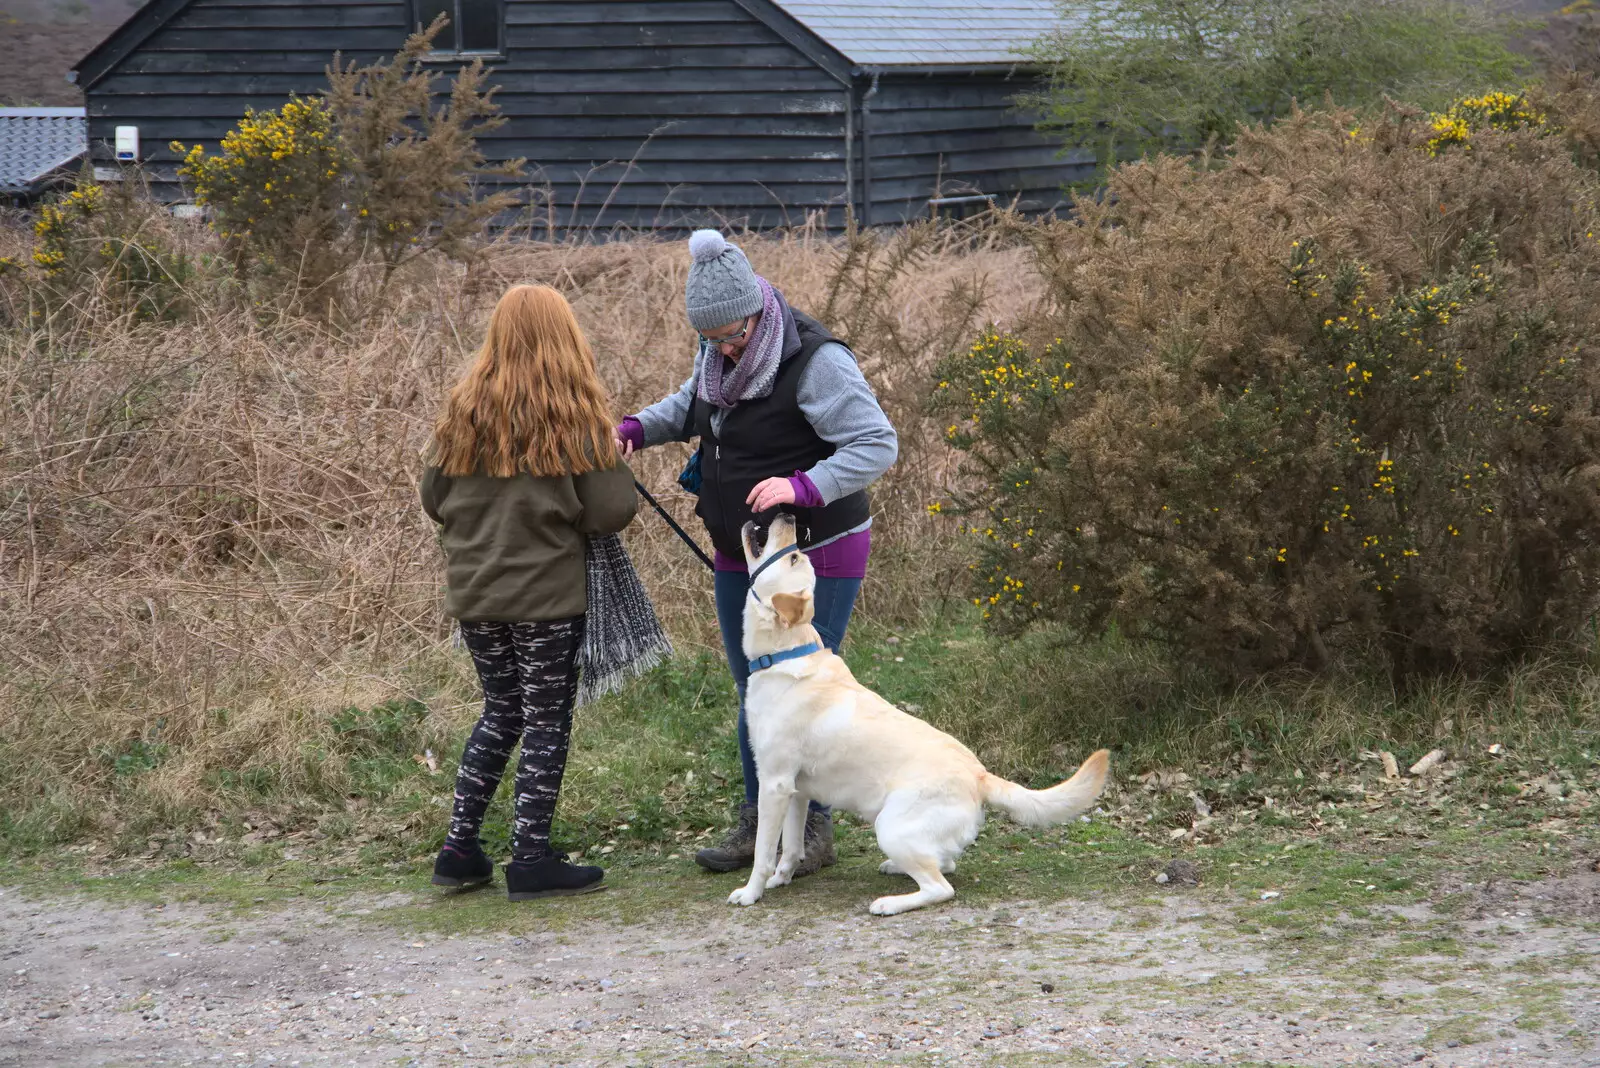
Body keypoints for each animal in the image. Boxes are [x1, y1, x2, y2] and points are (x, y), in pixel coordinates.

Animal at [732, 511, 1107, 914]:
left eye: (793, 558)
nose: (788, 514)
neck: (785, 654)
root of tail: (981, 775)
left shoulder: (774, 784)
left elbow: (763, 852)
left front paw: (751, 892)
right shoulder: (797, 791)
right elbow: (790, 848)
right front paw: (781, 879)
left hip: (890, 826)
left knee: (941, 886)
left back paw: (889, 903)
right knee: (945, 862)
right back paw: (896, 869)